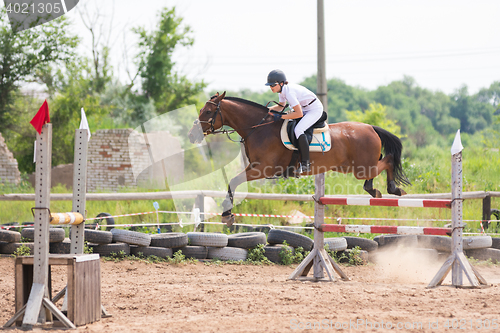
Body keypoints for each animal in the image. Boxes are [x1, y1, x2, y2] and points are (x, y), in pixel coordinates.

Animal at [188, 91, 410, 226]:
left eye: (208, 111)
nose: (192, 135)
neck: (258, 128)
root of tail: (371, 127)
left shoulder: (262, 169)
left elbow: (233, 181)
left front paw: (227, 215)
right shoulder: (256, 168)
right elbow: (232, 182)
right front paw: (228, 214)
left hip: (361, 167)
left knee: (388, 160)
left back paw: (393, 189)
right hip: (352, 167)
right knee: (376, 171)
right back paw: (375, 190)